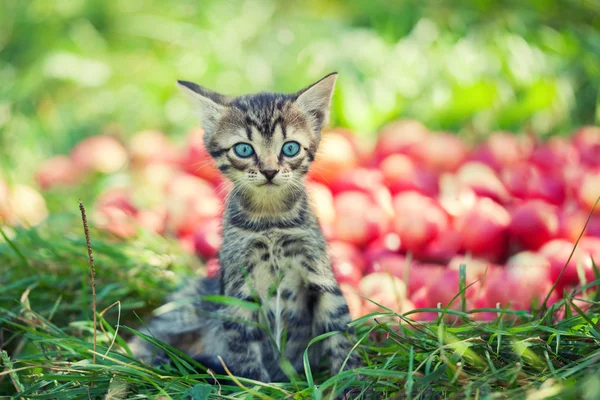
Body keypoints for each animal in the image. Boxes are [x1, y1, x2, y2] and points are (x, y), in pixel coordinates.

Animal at [128, 72, 358, 384]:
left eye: (290, 148)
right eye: (244, 149)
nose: (270, 171)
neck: (270, 220)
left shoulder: (319, 272)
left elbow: (340, 328)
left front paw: (350, 380)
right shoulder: (238, 287)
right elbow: (244, 348)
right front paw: (257, 387)